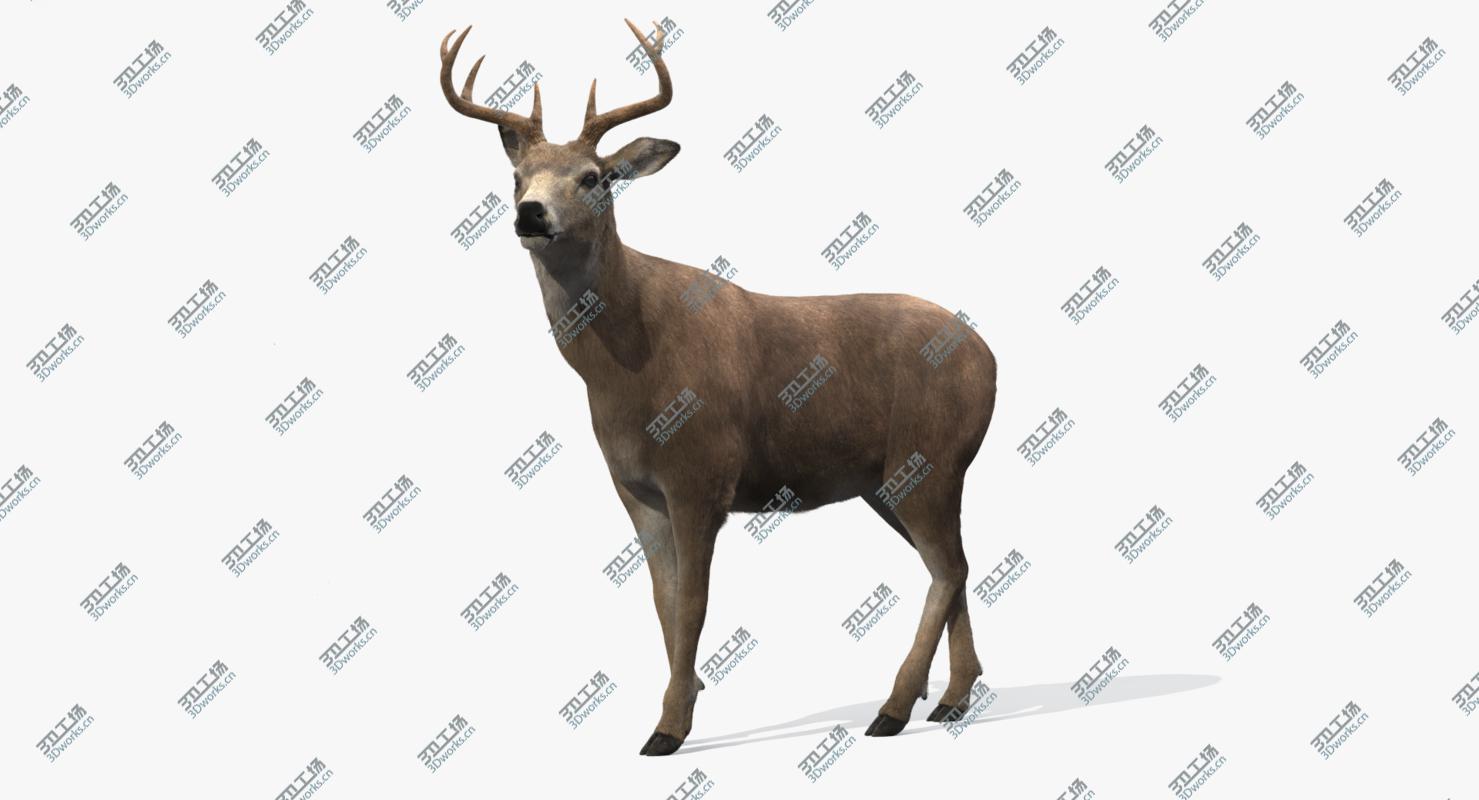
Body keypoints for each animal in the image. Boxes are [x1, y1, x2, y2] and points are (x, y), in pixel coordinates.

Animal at [438, 19, 999, 756]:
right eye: (516, 177)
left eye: (594, 177)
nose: (532, 214)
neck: (629, 366)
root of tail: (991, 356)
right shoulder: (635, 489)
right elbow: (662, 600)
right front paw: (683, 698)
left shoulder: (701, 474)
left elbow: (695, 603)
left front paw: (669, 728)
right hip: (887, 480)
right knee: (953, 566)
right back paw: (952, 700)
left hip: (928, 455)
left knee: (948, 568)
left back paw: (894, 708)